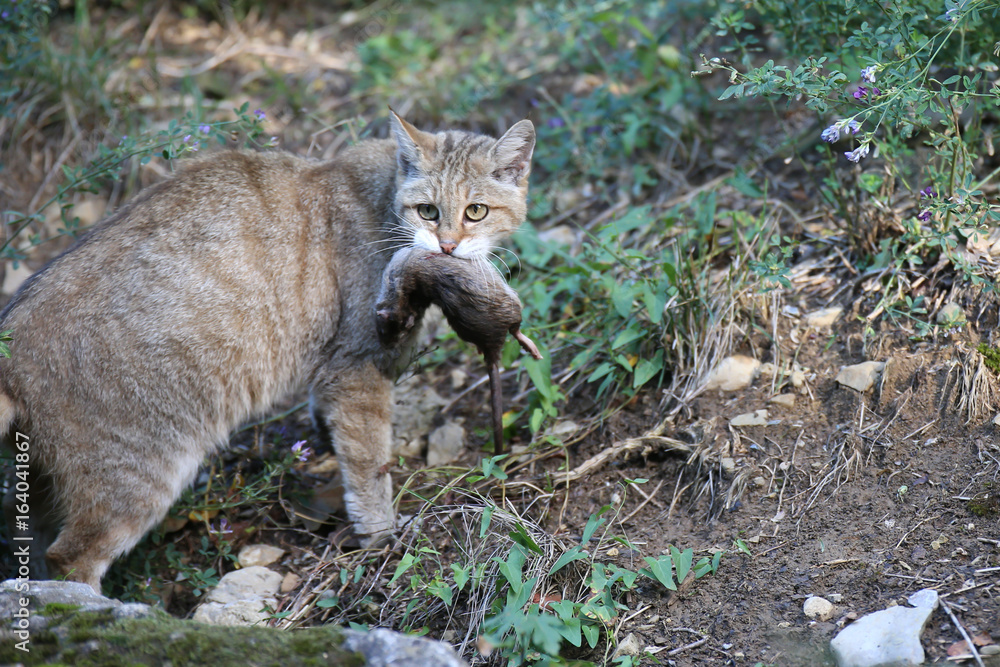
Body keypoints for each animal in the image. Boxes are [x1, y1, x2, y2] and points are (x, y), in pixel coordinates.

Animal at [0, 112, 536, 592]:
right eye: (428, 210)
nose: (446, 246)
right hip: (137, 474)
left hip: (46, 486)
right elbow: (368, 464)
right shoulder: (357, 370)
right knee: (70, 559)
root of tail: (10, 338)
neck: (384, 194)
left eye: (476, 211)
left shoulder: (335, 369)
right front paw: (381, 533)